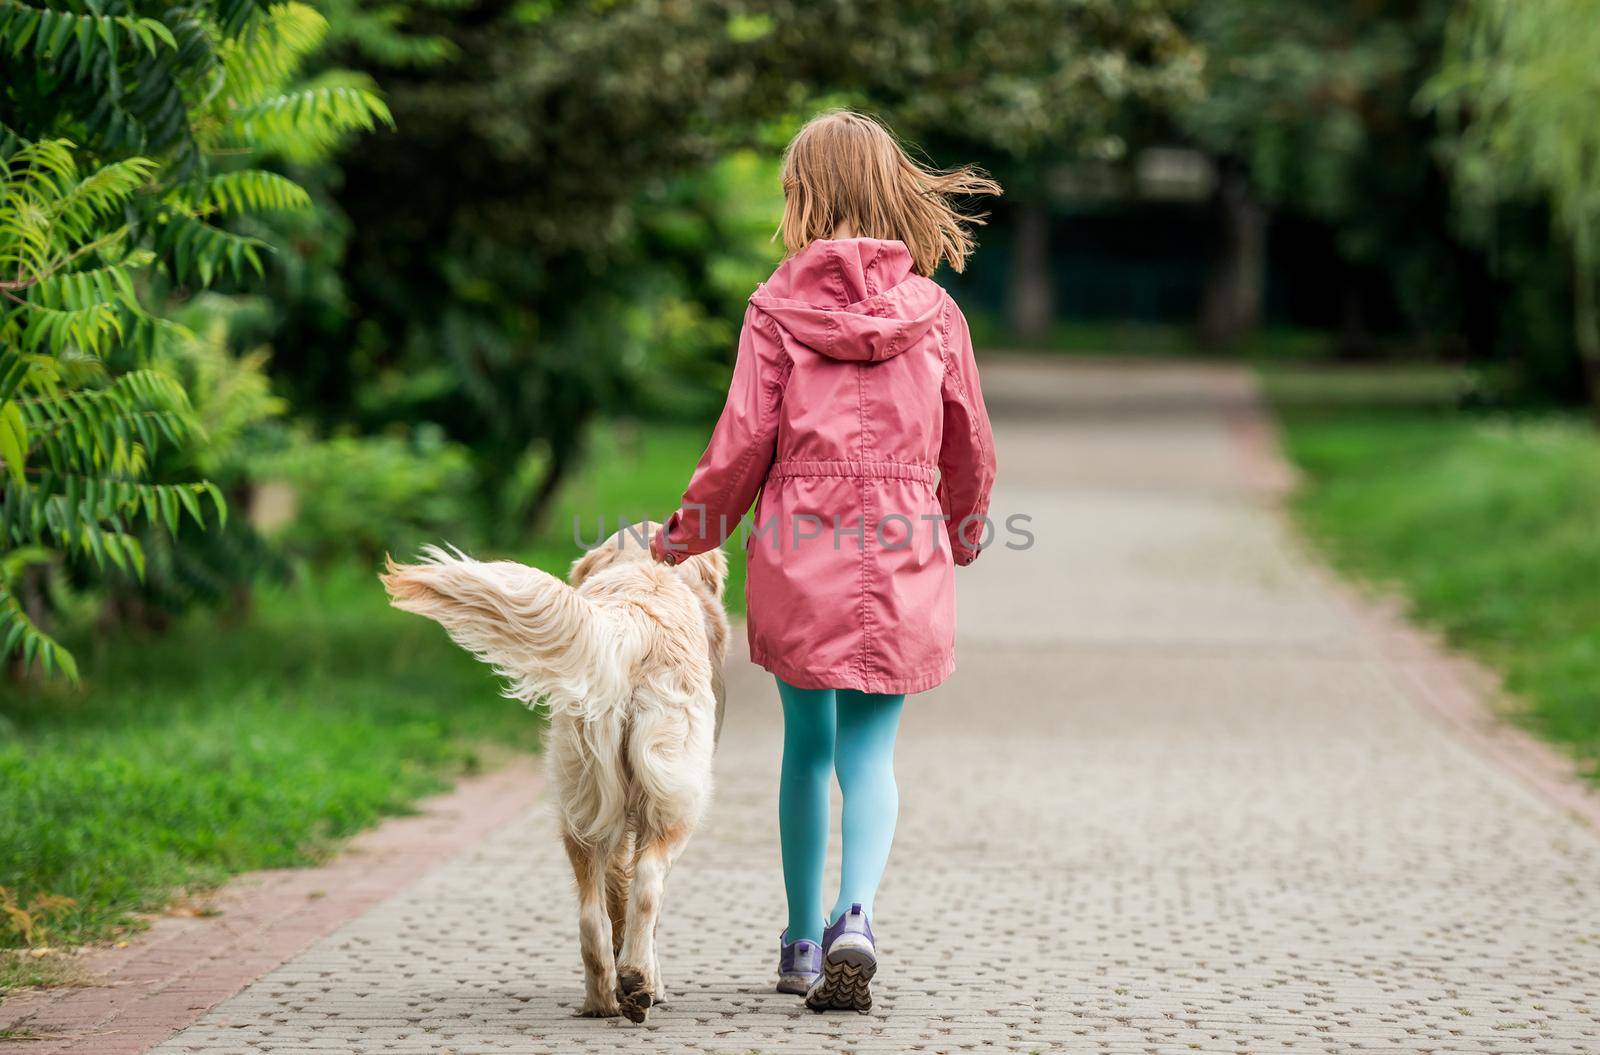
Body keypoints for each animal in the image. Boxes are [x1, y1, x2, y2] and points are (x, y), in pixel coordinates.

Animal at [377, 525, 729, 1024]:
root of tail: (632, 623)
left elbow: (614, 894)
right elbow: (640, 898)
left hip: (581, 799)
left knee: (590, 913)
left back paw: (602, 998)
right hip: (677, 802)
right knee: (647, 884)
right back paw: (639, 982)